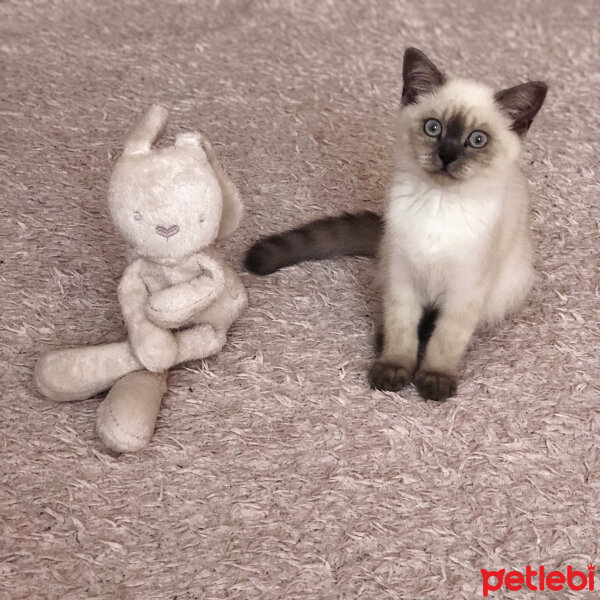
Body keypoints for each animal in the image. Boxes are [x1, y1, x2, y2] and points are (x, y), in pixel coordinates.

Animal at [245, 48, 548, 404]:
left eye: (477, 140)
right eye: (433, 127)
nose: (447, 155)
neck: (438, 204)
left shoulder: (465, 289)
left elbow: (446, 340)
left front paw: (434, 379)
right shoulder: (402, 276)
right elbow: (402, 331)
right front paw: (393, 370)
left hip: (504, 288)